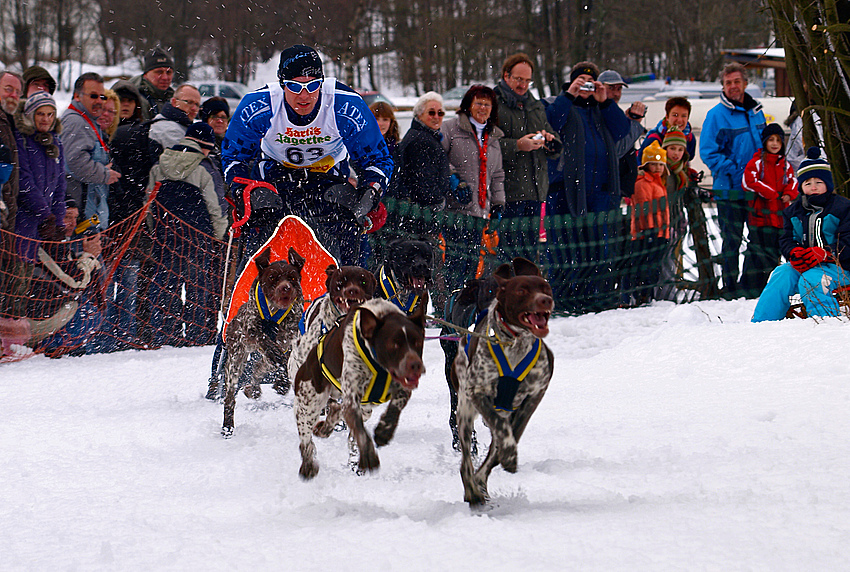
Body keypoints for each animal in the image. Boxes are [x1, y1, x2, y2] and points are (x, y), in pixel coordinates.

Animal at [222, 247, 304, 438]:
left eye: (292, 277)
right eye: (272, 277)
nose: (285, 288)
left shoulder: (291, 340)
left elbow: (283, 361)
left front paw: (281, 383)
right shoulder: (252, 330)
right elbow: (267, 342)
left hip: (264, 361)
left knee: (259, 367)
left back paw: (254, 389)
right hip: (235, 361)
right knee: (230, 397)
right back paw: (227, 426)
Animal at [294, 298, 424, 480]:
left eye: (418, 342)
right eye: (394, 344)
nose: (416, 366)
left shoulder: (401, 387)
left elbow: (397, 404)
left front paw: (384, 430)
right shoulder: (352, 398)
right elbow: (361, 432)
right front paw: (369, 456)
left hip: (364, 408)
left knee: (337, 409)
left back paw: (326, 427)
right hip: (308, 403)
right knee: (306, 439)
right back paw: (308, 464)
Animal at [454, 258, 552, 504]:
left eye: (545, 287)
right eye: (521, 290)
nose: (545, 300)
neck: (515, 343)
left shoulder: (536, 393)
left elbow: (512, 434)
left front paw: (505, 455)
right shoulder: (477, 391)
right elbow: (501, 432)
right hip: (465, 412)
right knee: (466, 459)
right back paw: (472, 490)